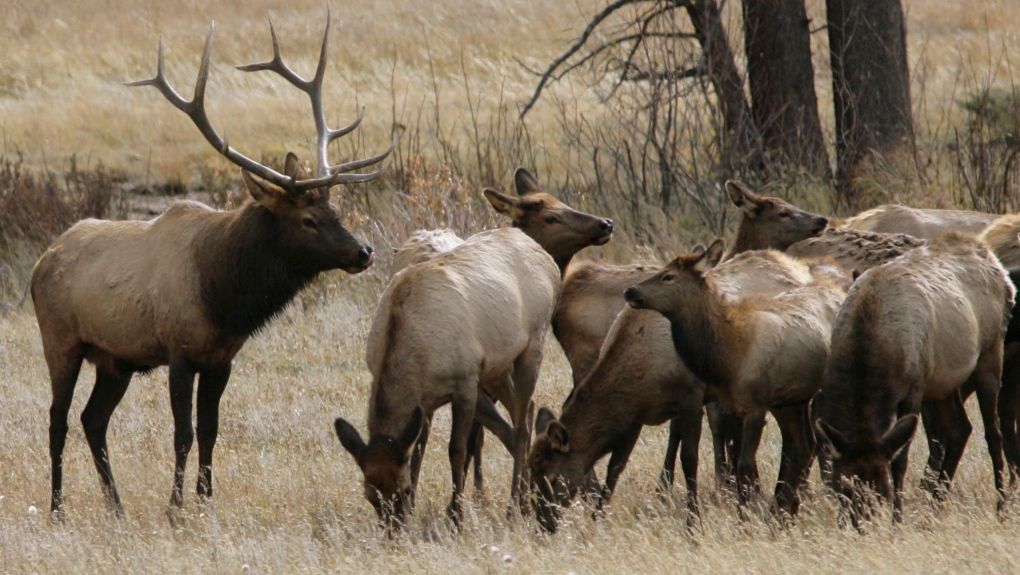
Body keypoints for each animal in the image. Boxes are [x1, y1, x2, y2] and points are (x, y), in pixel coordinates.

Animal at [31, 12, 389, 515]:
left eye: (335, 209)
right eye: (309, 219)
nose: (363, 252)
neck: (224, 297)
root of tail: (40, 263)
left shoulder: (222, 358)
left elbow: (210, 431)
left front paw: (206, 502)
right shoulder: (179, 350)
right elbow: (182, 433)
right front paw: (175, 509)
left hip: (116, 360)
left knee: (92, 420)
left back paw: (116, 506)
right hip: (61, 339)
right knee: (57, 420)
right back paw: (58, 508)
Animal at [332, 168, 612, 526]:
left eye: (402, 491)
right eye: (370, 495)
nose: (394, 530)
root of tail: (539, 251)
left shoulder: (465, 380)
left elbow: (457, 448)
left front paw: (456, 515)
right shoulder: (427, 400)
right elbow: (418, 448)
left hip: (530, 345)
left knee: (522, 422)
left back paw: (517, 504)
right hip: (496, 365)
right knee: (522, 412)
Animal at [624, 240, 848, 517]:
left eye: (668, 276)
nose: (630, 291)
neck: (729, 357)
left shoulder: (756, 404)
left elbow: (744, 464)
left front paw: (744, 515)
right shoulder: (733, 405)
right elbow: (736, 459)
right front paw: (745, 506)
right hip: (791, 400)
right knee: (804, 443)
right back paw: (784, 509)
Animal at [811, 230, 1011, 526]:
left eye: (881, 489)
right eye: (841, 485)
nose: (860, 525)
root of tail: (991, 258)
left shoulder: (914, 388)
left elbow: (900, 460)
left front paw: (897, 520)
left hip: (990, 352)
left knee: (993, 433)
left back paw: (1001, 506)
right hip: (943, 381)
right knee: (960, 429)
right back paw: (935, 506)